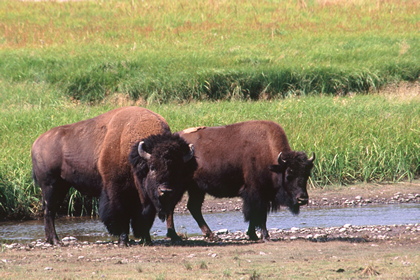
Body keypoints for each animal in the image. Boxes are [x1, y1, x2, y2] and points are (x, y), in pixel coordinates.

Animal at [31, 105, 195, 245]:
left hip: (62, 186)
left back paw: (51, 240)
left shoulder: (143, 198)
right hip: (50, 185)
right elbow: (121, 213)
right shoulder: (117, 190)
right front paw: (123, 240)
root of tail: (37, 143)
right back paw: (56, 241)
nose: (165, 191)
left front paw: (146, 239)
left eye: (178, 170)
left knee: (50, 211)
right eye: (153, 167)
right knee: (49, 211)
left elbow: (143, 217)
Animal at [176, 121, 316, 242]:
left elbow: (255, 216)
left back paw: (211, 236)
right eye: (288, 175)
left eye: (306, 174)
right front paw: (265, 236)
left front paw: (253, 235)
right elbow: (259, 215)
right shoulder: (257, 194)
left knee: (194, 207)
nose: (302, 199)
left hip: (196, 189)